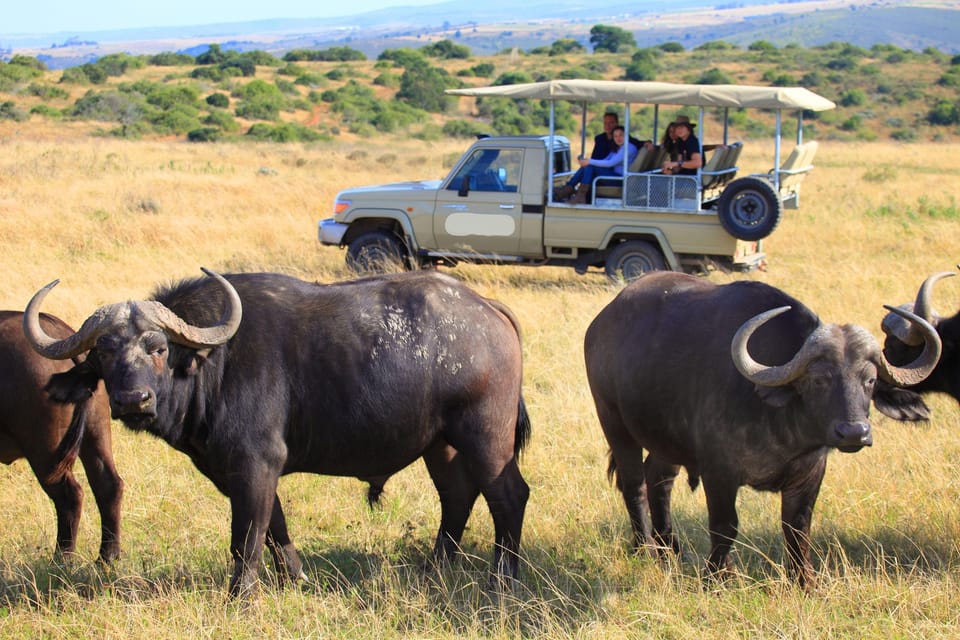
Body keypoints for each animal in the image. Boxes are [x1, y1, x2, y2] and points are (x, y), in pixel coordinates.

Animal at [0, 312, 122, 564]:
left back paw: (62, 559)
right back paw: (107, 557)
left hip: (45, 451)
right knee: (108, 485)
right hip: (95, 434)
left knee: (70, 496)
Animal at [24, 268, 532, 596]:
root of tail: (488, 310)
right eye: (105, 352)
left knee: (508, 495)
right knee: (457, 495)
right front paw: (294, 579)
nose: (134, 401)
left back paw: (502, 578)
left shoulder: (254, 464)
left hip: (485, 437)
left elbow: (246, 536)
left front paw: (241, 597)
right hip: (440, 444)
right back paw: (434, 568)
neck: (214, 363)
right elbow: (275, 528)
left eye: (158, 348)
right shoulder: (239, 471)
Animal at [580, 270, 940, 584]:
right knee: (634, 484)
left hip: (666, 439)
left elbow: (797, 527)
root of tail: (601, 322)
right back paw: (645, 548)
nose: (854, 433)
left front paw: (804, 582)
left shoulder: (810, 473)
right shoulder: (719, 472)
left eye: (870, 380)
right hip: (614, 422)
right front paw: (717, 577)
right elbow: (725, 525)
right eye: (819, 380)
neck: (783, 430)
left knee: (659, 480)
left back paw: (670, 548)